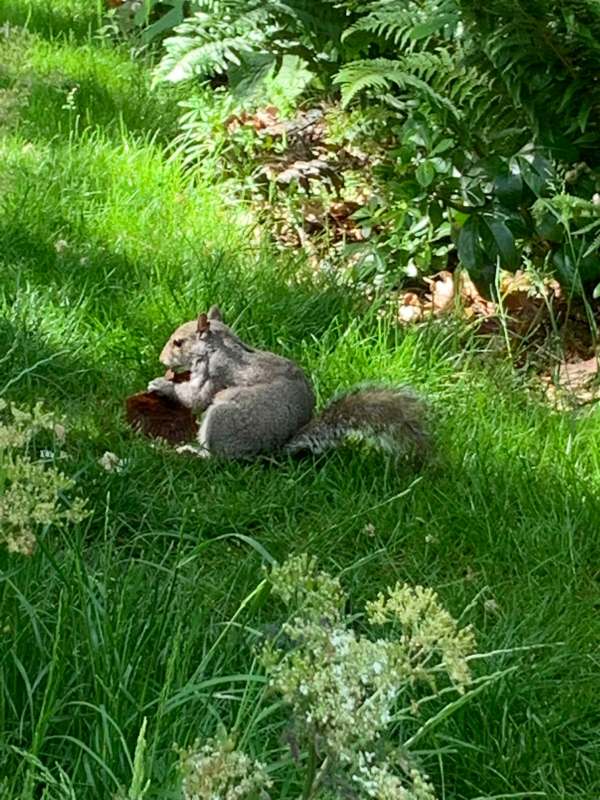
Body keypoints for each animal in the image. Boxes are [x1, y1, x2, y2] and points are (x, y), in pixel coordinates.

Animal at [145, 304, 426, 460]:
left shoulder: (214, 373)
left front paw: (162, 385)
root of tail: (275, 448)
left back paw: (193, 452)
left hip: (224, 419)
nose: (161, 358)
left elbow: (195, 398)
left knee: (219, 457)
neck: (218, 345)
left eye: (178, 342)